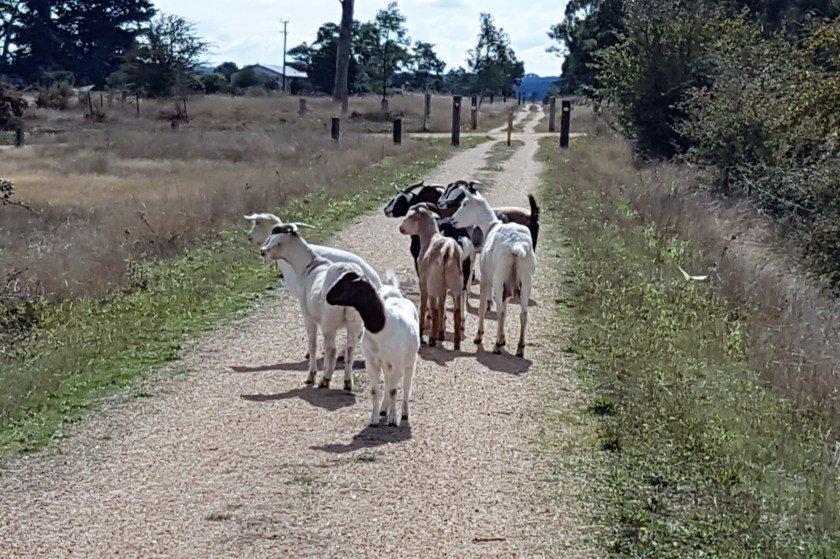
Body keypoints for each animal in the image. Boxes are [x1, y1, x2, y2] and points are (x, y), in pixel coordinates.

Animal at [260, 223, 364, 391]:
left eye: (278, 242)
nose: (263, 252)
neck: (311, 266)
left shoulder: (307, 316)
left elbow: (312, 344)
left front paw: (311, 376)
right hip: (354, 320)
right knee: (350, 348)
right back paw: (348, 383)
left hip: (329, 322)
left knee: (331, 350)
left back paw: (325, 380)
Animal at [327, 269, 420, 427]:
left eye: (346, 285)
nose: (328, 296)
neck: (382, 326)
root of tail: (400, 299)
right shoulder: (371, 363)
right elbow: (375, 391)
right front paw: (374, 419)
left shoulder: (397, 364)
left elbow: (394, 391)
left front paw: (393, 419)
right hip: (386, 365)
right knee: (387, 382)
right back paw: (383, 409)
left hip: (408, 363)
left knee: (407, 386)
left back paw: (404, 414)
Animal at [399, 205, 465, 349]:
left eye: (410, 216)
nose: (401, 228)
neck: (429, 238)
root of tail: (448, 250)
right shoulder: (443, 288)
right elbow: (442, 305)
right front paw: (441, 334)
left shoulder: (423, 281)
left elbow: (424, 305)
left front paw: (421, 331)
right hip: (456, 284)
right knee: (457, 311)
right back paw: (456, 342)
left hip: (434, 283)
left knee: (434, 310)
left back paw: (431, 339)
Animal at [451, 190, 536, 357]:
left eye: (465, 204)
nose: (452, 220)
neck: (490, 226)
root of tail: (516, 246)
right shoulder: (509, 284)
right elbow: (506, 307)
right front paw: (502, 338)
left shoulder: (486, 279)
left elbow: (483, 306)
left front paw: (479, 336)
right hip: (525, 280)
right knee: (523, 314)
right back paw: (520, 348)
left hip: (498, 279)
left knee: (500, 312)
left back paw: (496, 346)